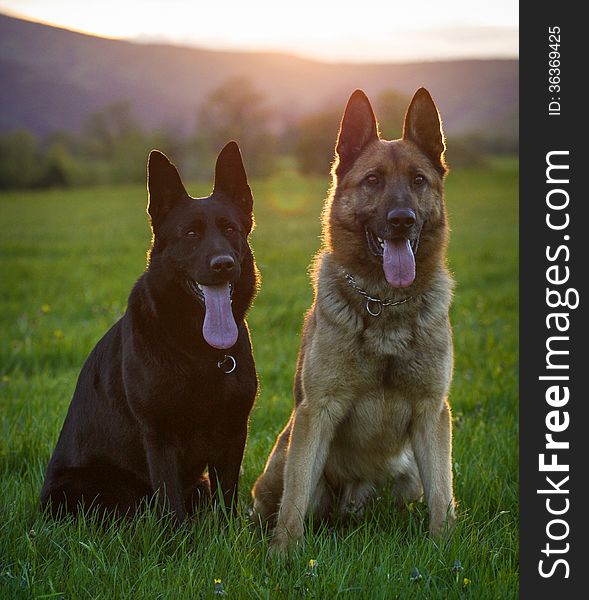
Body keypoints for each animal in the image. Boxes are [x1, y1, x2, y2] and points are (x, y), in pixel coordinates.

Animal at [39, 142, 255, 520]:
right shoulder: (160, 434)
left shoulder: (233, 431)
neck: (199, 351)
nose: (224, 265)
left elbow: (226, 499)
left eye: (230, 229)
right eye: (191, 234)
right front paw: (176, 537)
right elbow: (171, 504)